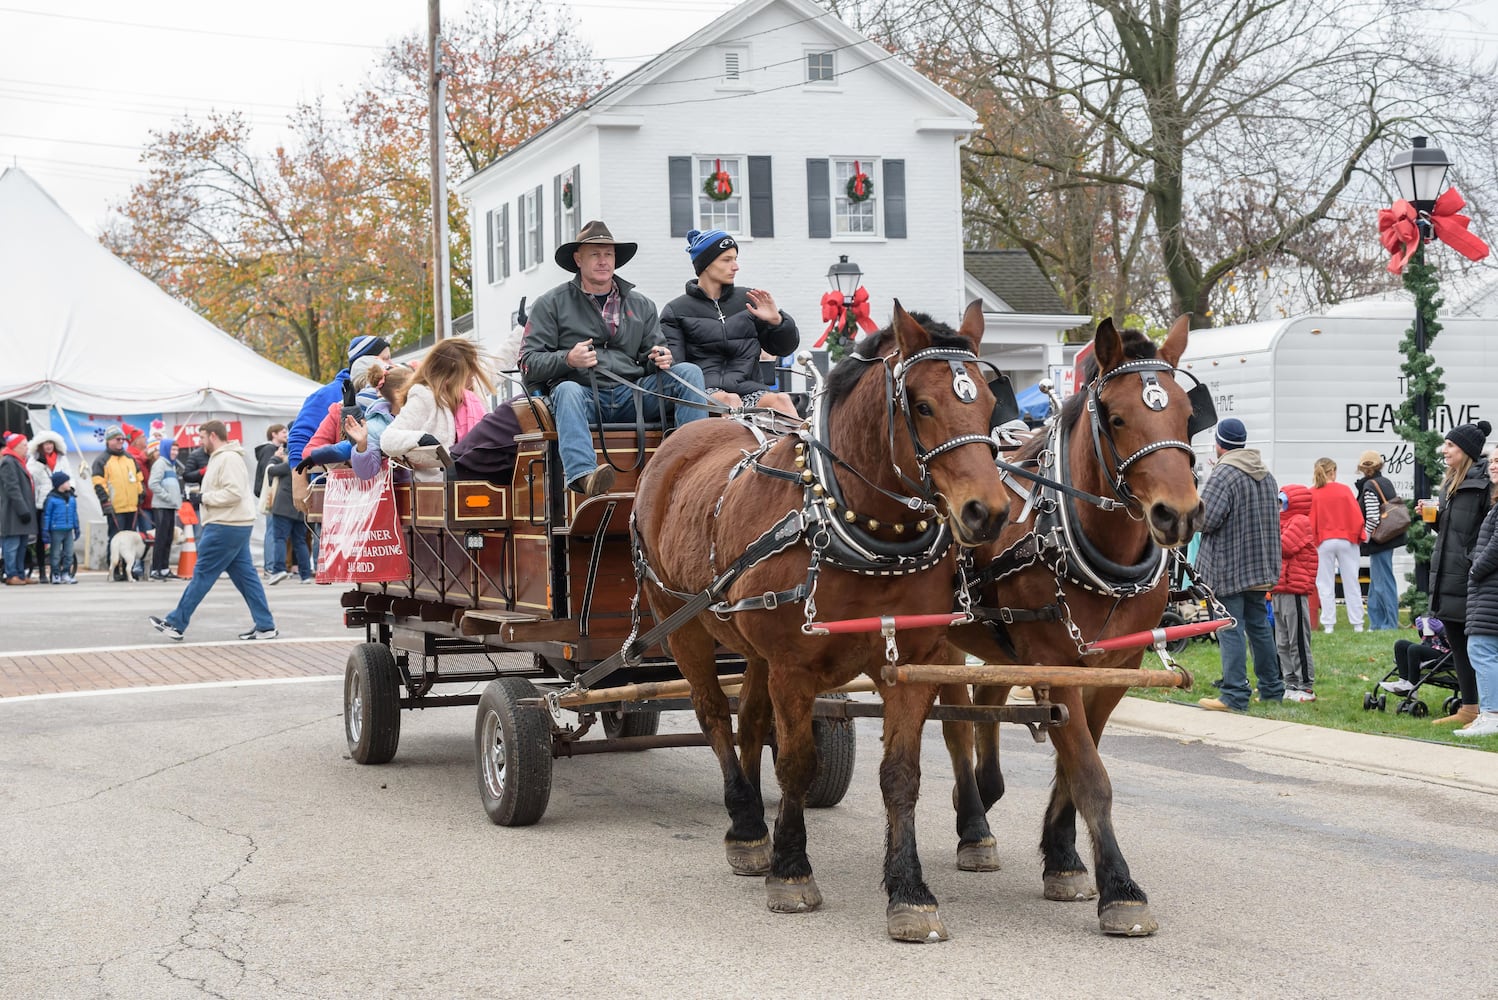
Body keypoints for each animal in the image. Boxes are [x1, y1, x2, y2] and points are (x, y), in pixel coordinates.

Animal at [638, 300, 1012, 940]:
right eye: (921, 404)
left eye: (989, 401)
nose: (987, 512)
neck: (858, 529)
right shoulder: (794, 666)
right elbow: (796, 763)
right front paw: (791, 870)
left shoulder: (909, 662)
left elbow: (902, 774)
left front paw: (909, 891)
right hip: (679, 622)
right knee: (714, 715)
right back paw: (746, 825)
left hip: (751, 643)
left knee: (749, 720)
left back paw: (753, 824)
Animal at [946, 318, 1204, 940]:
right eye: (1117, 417)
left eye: (1188, 415)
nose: (1178, 514)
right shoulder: (1054, 662)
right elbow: (1091, 774)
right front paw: (1121, 889)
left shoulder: (1114, 670)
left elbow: (1074, 765)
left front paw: (1063, 856)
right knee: (953, 724)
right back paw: (974, 820)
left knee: (981, 703)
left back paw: (980, 807)